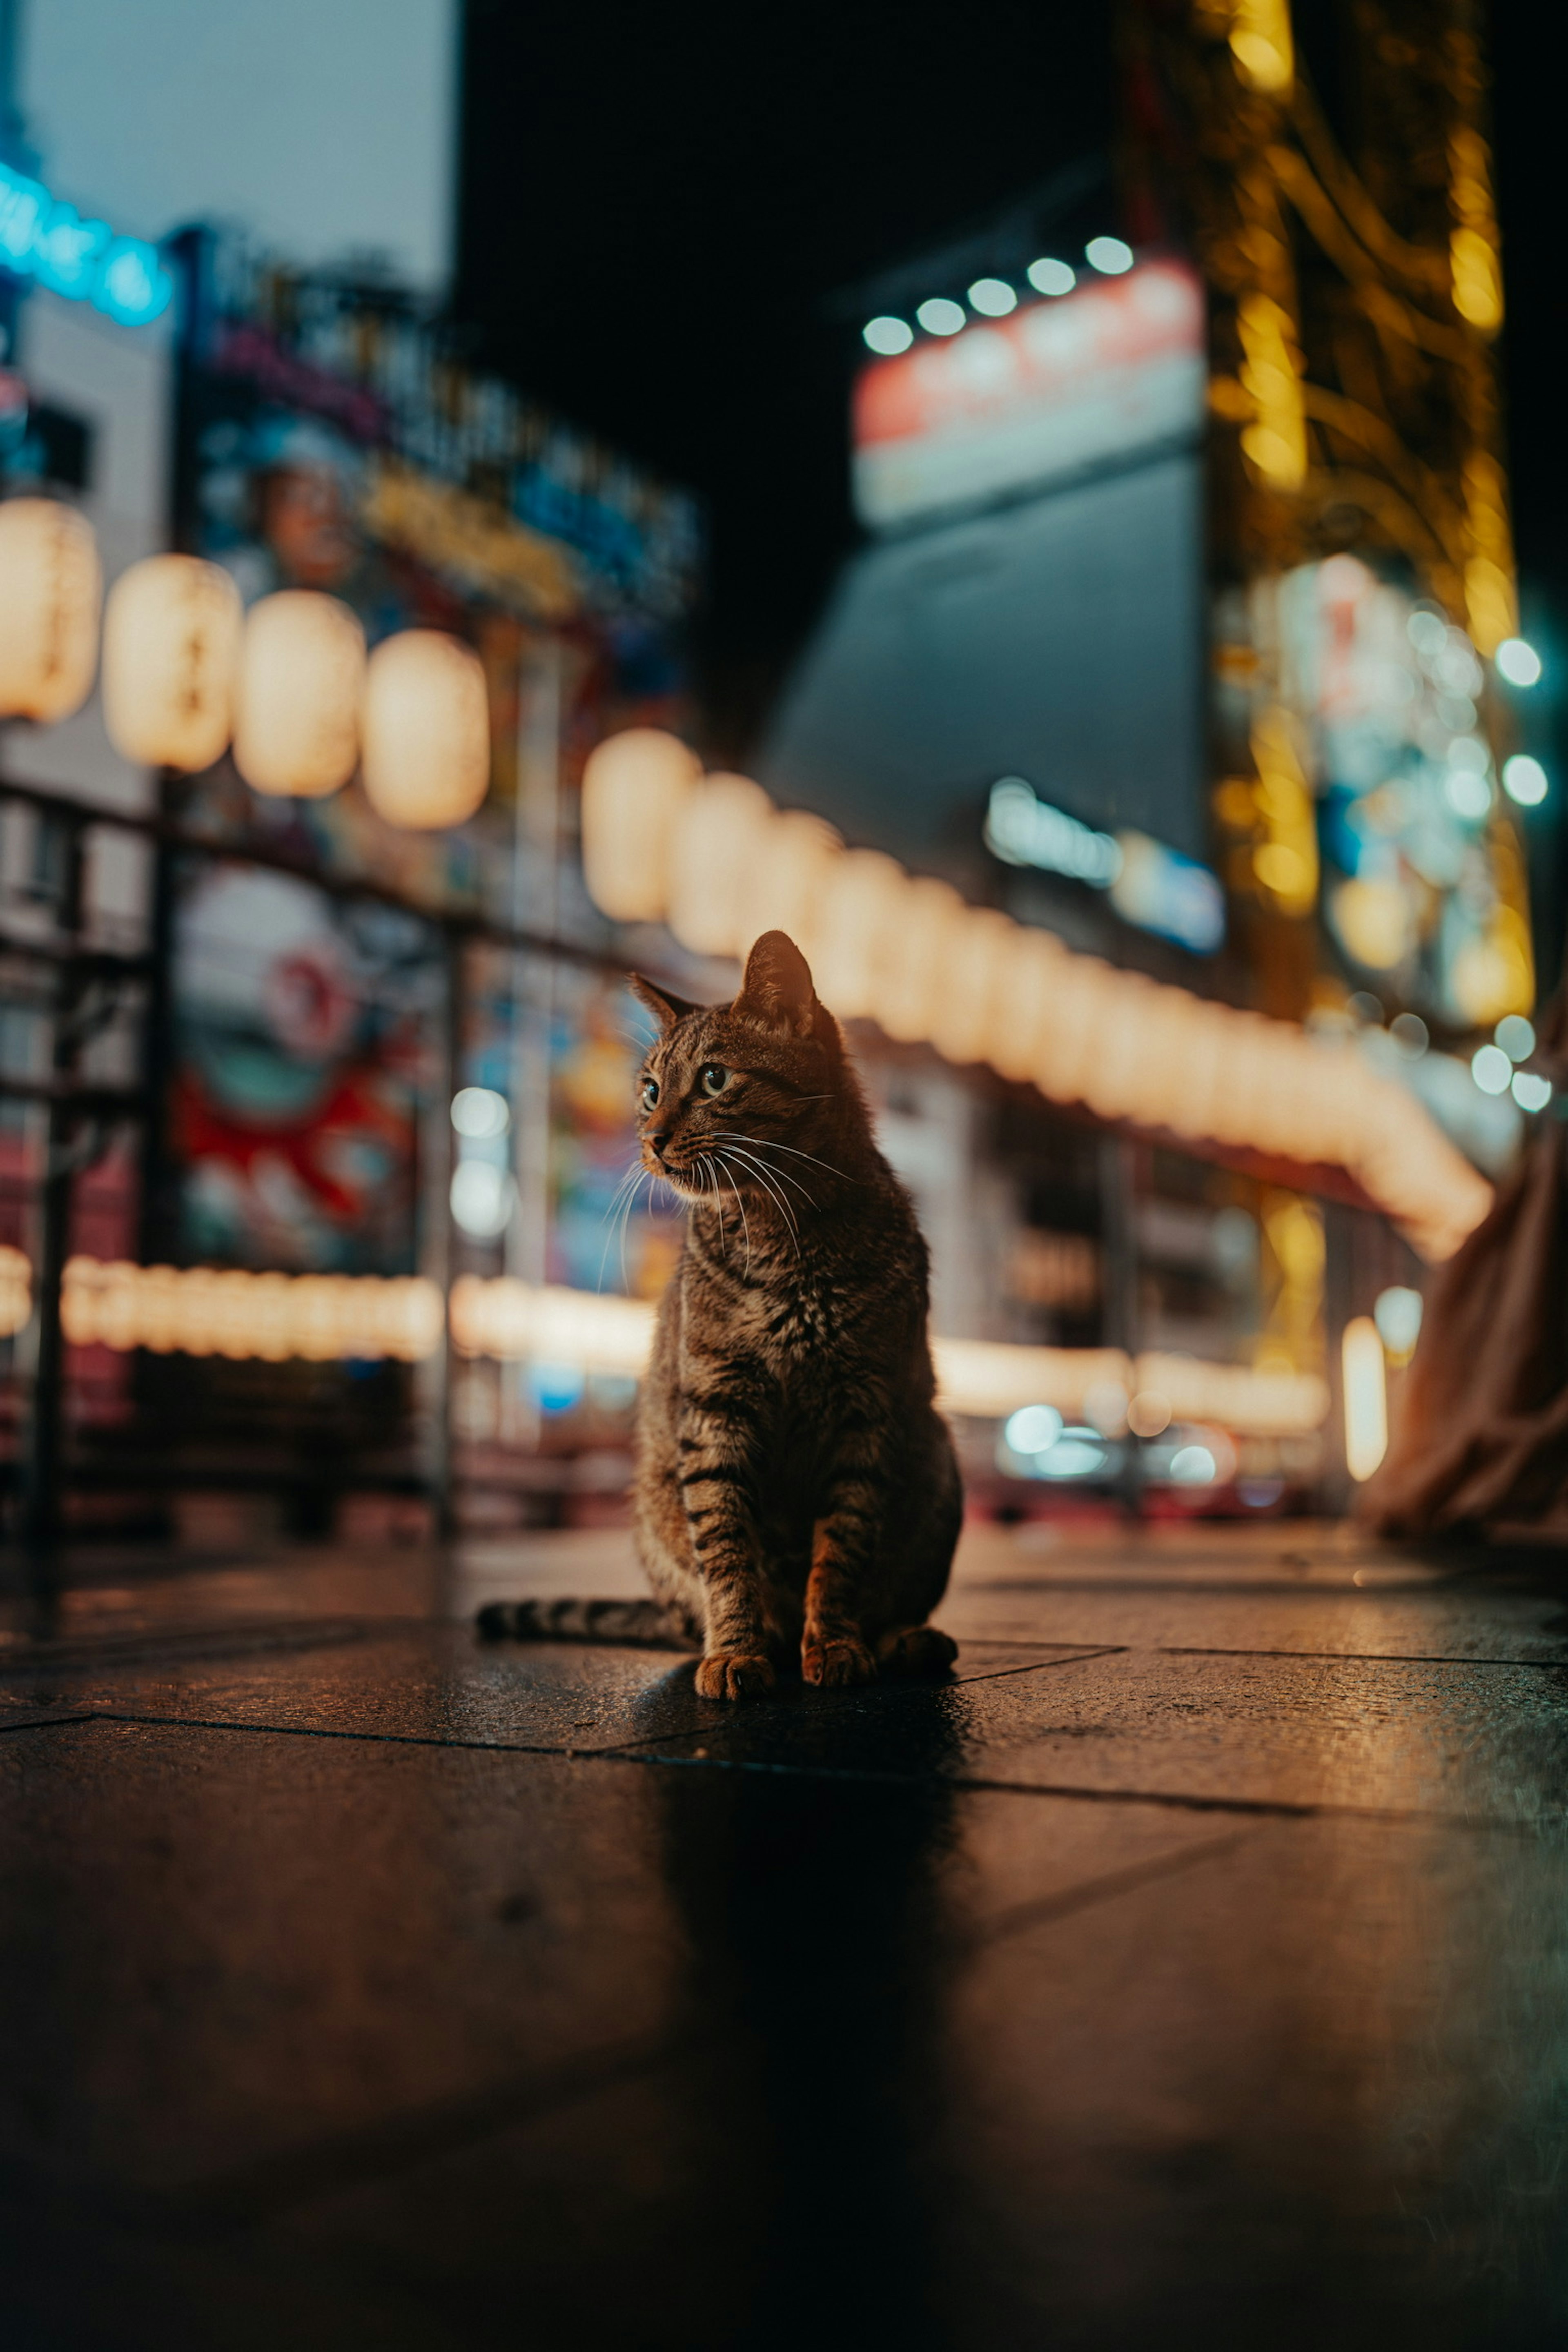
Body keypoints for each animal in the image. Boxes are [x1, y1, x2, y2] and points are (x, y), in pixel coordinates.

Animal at [479, 927, 964, 1703]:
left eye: (713, 1080)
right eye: (649, 1090)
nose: (651, 1136)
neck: (782, 1237)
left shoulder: (867, 1411)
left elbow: (842, 1552)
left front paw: (834, 1642)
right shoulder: (714, 1410)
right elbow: (728, 1552)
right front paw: (736, 1650)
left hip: (938, 1464)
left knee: (893, 1595)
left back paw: (902, 1639)